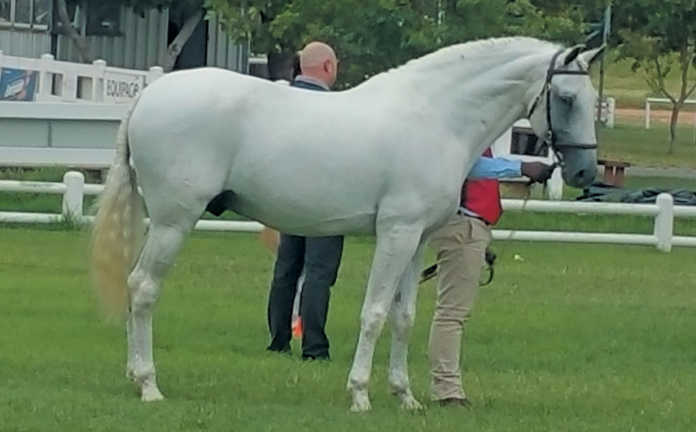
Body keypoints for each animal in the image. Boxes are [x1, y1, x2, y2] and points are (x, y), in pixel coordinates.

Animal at [90, 37, 603, 412]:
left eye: (593, 99)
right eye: (566, 97)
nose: (584, 173)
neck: (436, 118)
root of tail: (148, 95)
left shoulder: (418, 240)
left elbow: (404, 317)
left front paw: (405, 396)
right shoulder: (396, 234)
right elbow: (373, 313)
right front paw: (359, 395)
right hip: (174, 221)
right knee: (143, 288)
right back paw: (149, 385)